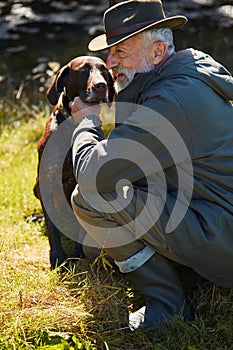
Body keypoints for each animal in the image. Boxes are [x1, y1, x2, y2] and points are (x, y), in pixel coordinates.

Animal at [34, 56, 114, 268]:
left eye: (104, 70)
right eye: (83, 70)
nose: (101, 86)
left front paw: (80, 253)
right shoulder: (47, 181)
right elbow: (52, 228)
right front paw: (57, 257)